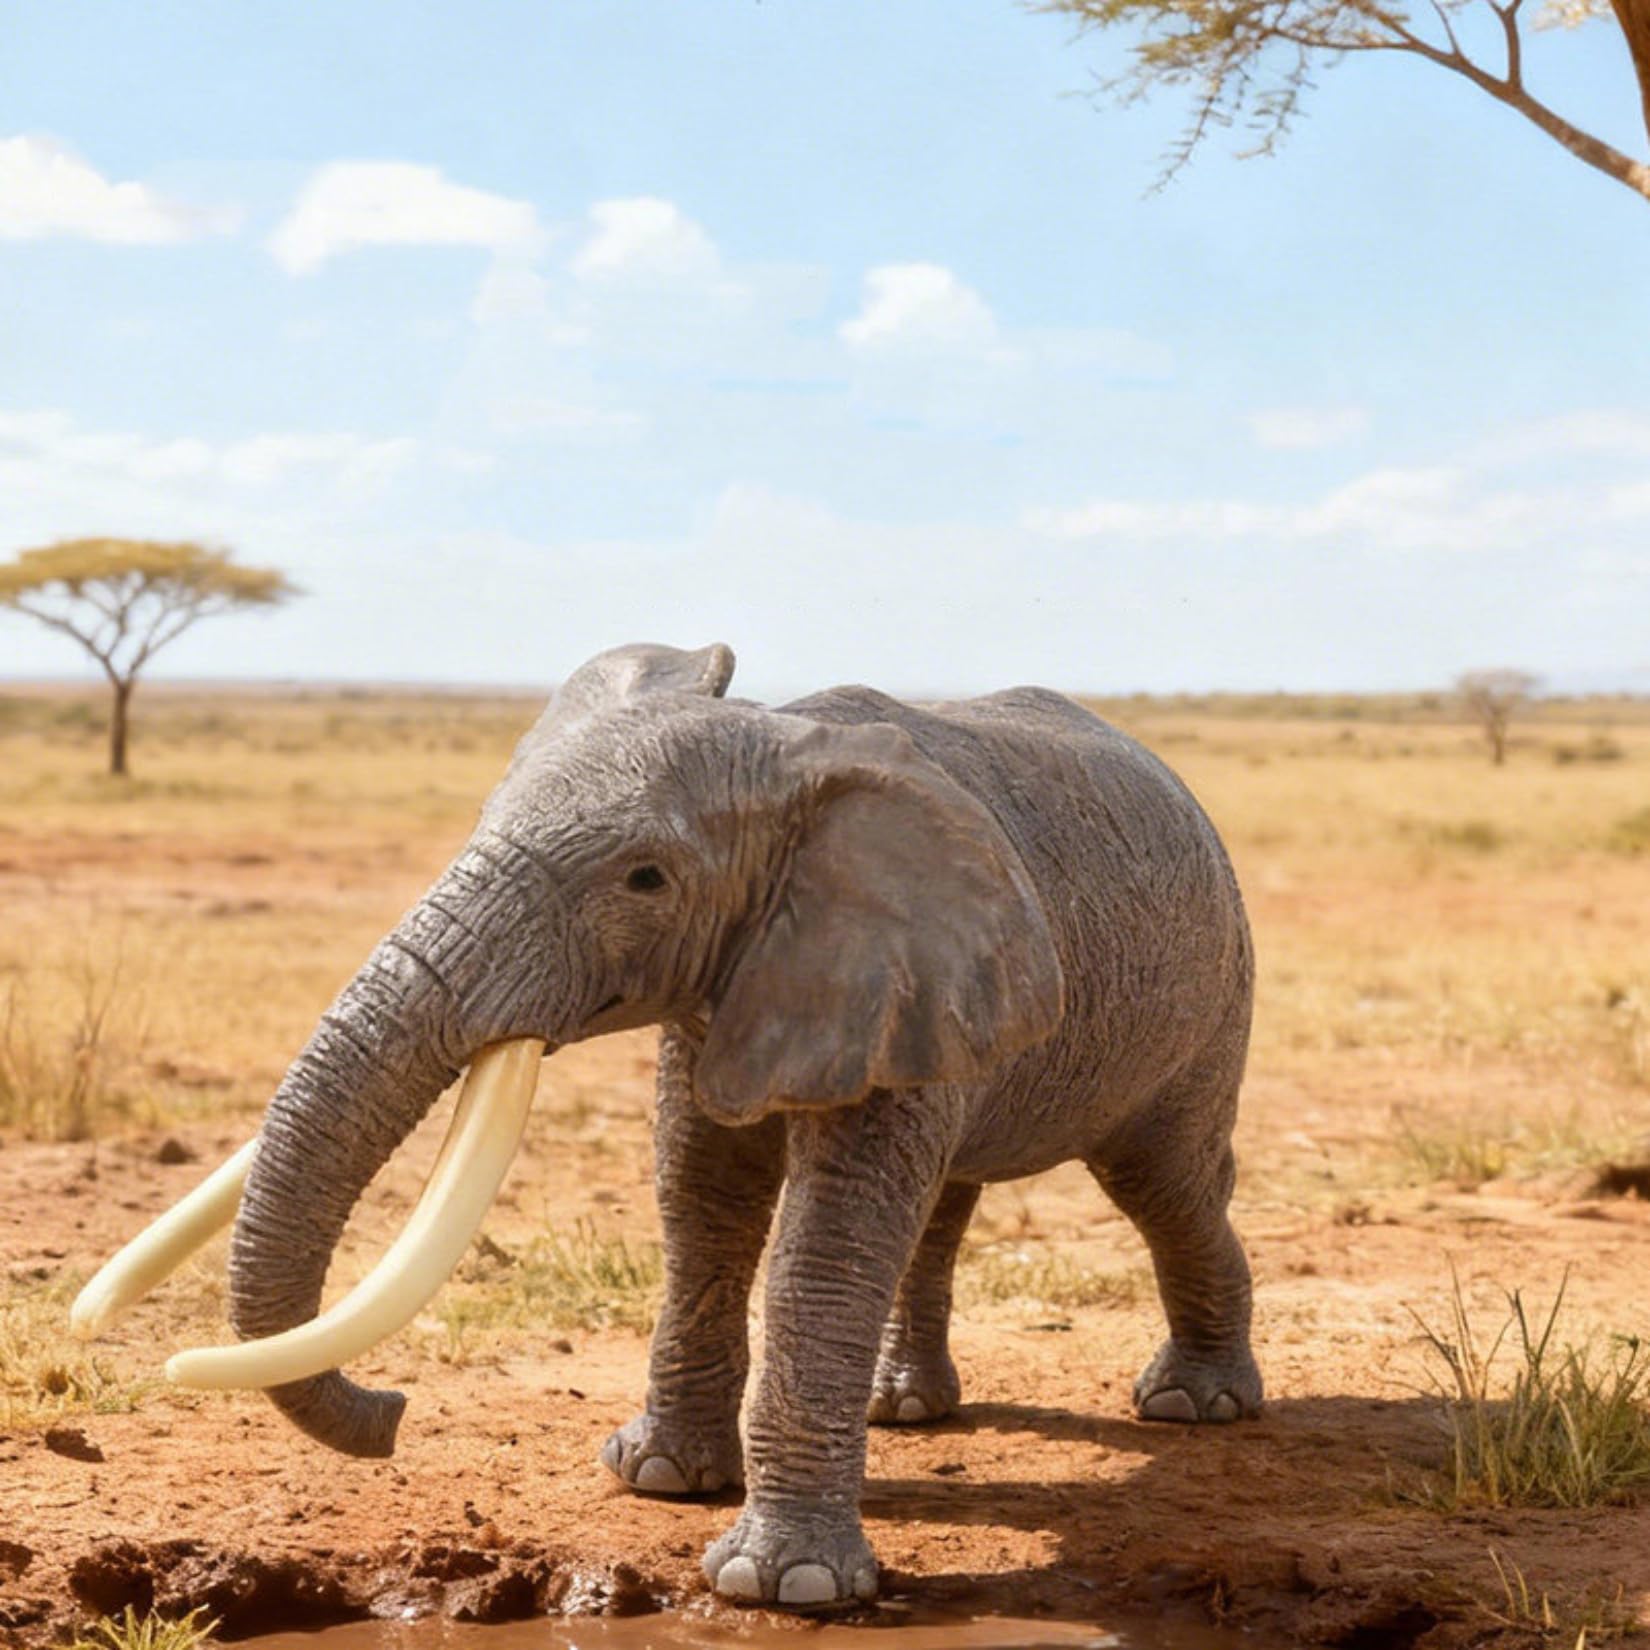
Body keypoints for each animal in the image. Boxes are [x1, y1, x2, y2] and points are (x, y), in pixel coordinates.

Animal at [74, 641, 1261, 1611]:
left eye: (644, 878)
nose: (392, 1410)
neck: (784, 738)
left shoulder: (868, 949)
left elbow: (825, 1238)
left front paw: (783, 1586)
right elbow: (700, 1195)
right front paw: (656, 1479)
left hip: (1211, 993)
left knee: (1162, 1182)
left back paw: (1194, 1406)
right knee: (946, 1203)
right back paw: (902, 1412)